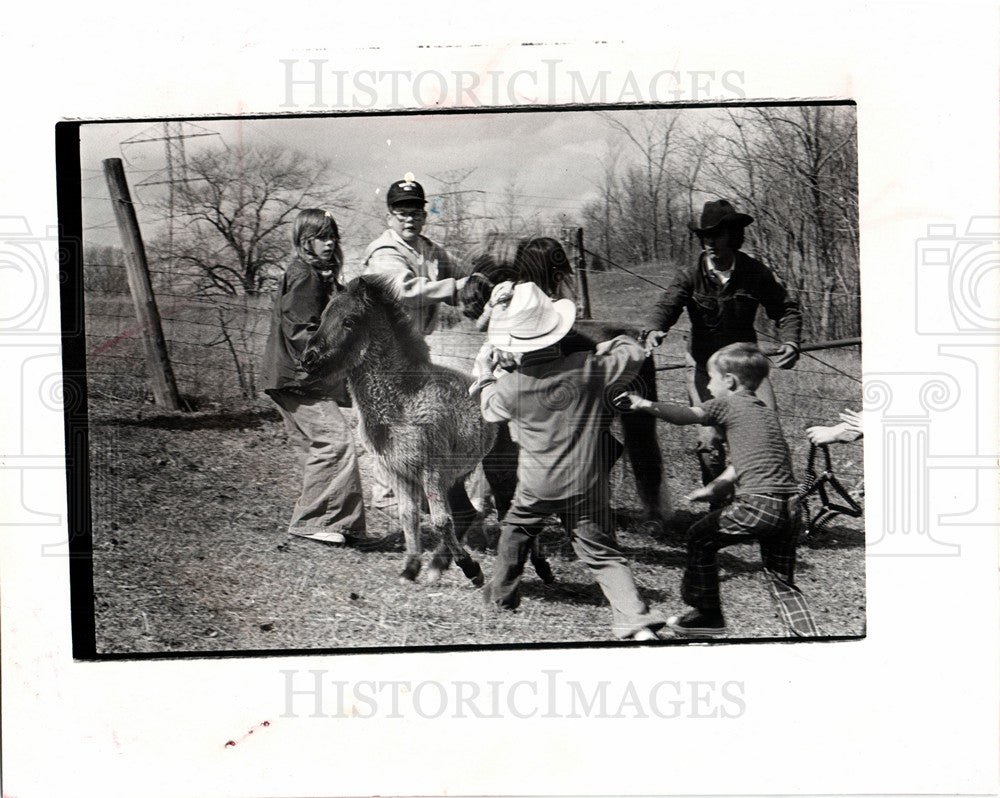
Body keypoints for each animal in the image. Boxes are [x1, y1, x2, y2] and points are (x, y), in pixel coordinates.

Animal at [300, 276, 496, 588]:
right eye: (321, 318)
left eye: (349, 321)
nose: (309, 359)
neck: (404, 397)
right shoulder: (398, 470)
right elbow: (409, 516)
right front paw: (410, 569)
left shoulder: (430, 470)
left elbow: (440, 521)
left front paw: (471, 569)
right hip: (457, 476)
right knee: (467, 511)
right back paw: (437, 566)